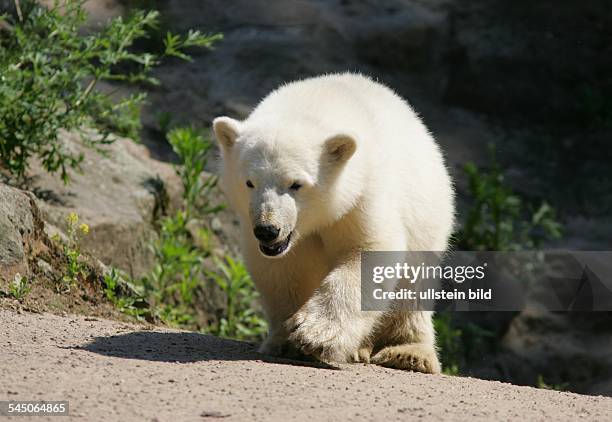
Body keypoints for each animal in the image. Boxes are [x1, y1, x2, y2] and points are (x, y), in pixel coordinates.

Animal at [213, 72, 452, 372]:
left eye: (296, 184)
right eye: (249, 182)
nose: (268, 230)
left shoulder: (362, 194)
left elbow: (368, 253)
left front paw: (315, 335)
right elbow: (283, 272)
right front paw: (286, 340)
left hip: (428, 216)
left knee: (413, 285)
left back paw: (407, 353)